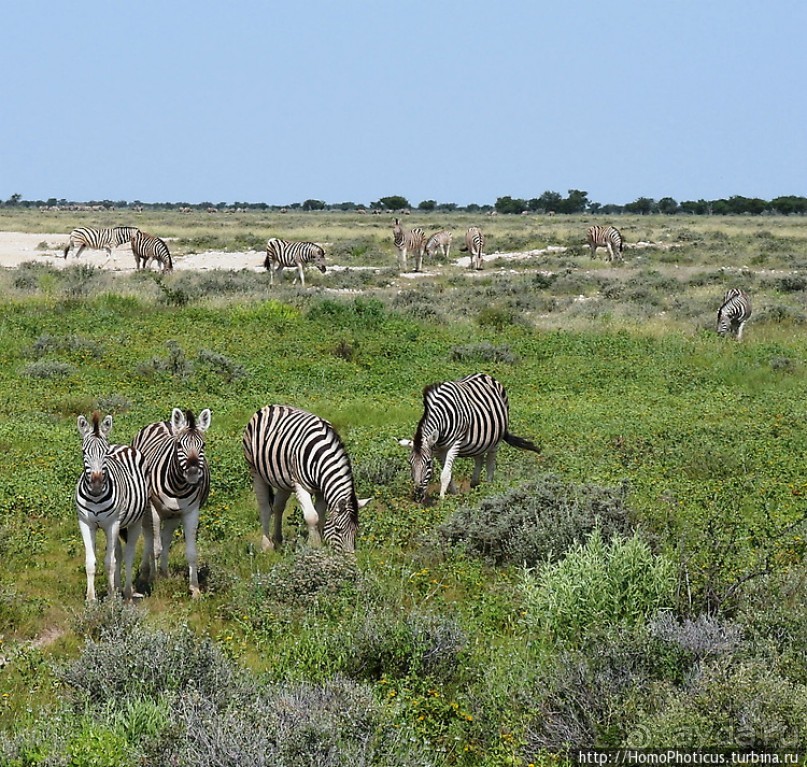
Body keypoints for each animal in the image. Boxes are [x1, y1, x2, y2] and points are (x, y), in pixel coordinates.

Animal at [74, 412, 150, 604]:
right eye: (84, 451)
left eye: (105, 453)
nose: (96, 483)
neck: (95, 497)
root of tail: (124, 446)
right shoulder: (85, 523)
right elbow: (91, 562)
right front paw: (92, 600)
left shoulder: (112, 524)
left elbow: (109, 562)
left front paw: (109, 599)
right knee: (120, 554)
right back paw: (117, 590)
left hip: (134, 521)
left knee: (128, 555)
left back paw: (127, 593)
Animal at [132, 408, 211, 600]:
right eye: (179, 446)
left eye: (203, 446)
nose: (192, 473)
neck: (178, 487)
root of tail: (164, 422)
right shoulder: (153, 509)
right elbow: (155, 547)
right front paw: (153, 582)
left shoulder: (190, 511)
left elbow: (191, 552)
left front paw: (195, 589)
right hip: (147, 510)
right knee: (149, 538)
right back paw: (146, 574)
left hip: (173, 515)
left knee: (166, 538)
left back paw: (164, 573)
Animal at [243, 404, 372, 556]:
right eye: (338, 529)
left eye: (356, 530)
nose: (349, 558)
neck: (321, 457)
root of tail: (269, 406)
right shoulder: (300, 485)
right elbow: (312, 517)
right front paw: (314, 546)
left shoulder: (322, 489)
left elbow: (320, 517)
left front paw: (320, 544)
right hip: (256, 471)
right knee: (265, 508)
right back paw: (266, 545)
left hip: (283, 480)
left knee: (278, 507)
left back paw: (278, 541)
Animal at [396, 374, 540, 504]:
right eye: (410, 463)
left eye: (428, 463)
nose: (417, 496)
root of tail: (485, 374)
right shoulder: (437, 449)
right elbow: (448, 472)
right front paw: (454, 494)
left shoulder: (455, 443)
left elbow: (445, 474)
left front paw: (442, 500)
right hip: (480, 439)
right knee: (479, 457)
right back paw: (475, 484)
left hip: (496, 438)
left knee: (490, 462)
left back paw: (489, 487)